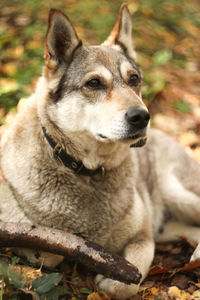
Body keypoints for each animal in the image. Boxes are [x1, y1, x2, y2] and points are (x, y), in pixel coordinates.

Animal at [0, 3, 200, 298]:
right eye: (94, 83)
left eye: (134, 79)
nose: (142, 116)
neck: (87, 171)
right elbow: (49, 253)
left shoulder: (143, 237)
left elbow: (128, 280)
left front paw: (110, 281)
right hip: (170, 223)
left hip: (179, 194)